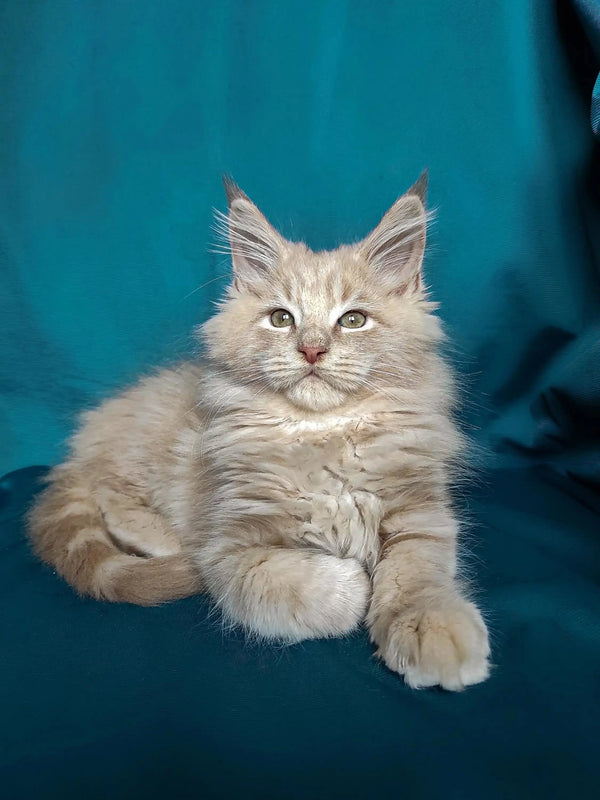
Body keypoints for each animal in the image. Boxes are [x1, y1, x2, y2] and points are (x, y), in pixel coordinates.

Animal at [27, 173, 492, 688]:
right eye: (281, 318)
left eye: (353, 320)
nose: (311, 350)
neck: (322, 436)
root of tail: (83, 442)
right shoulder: (231, 550)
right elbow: (305, 586)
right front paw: (352, 584)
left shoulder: (421, 513)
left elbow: (416, 573)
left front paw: (432, 624)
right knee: (107, 492)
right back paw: (167, 540)